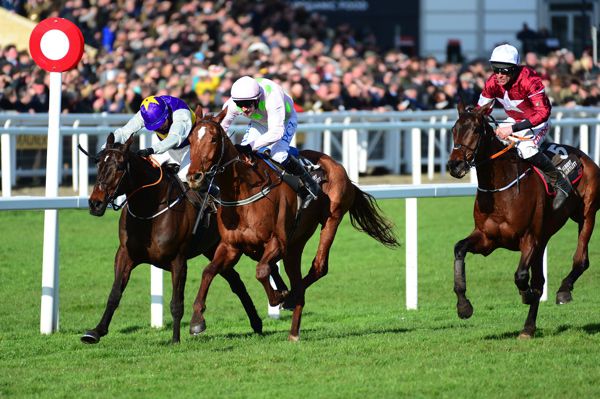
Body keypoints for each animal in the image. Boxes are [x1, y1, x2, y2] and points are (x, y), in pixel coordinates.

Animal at [81, 132, 288, 344]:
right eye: (98, 163)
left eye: (120, 167)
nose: (95, 203)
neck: (149, 211)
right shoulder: (125, 254)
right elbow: (114, 294)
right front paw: (96, 331)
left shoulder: (178, 260)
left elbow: (176, 303)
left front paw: (175, 339)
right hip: (217, 250)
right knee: (237, 281)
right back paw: (257, 321)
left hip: (247, 244)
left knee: (269, 263)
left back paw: (282, 296)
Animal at [186, 108, 398, 342]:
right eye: (190, 140)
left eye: (214, 139)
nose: (194, 177)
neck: (244, 192)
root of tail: (336, 165)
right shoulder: (231, 246)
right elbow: (208, 271)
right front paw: (196, 321)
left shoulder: (277, 241)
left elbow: (261, 271)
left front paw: (279, 296)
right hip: (296, 243)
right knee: (296, 275)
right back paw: (294, 331)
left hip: (331, 219)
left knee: (318, 267)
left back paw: (290, 299)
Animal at [448, 101, 596, 340]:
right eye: (454, 129)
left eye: (476, 130)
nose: (455, 165)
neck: (501, 191)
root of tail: (584, 156)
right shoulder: (487, 238)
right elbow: (459, 249)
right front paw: (463, 306)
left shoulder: (529, 239)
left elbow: (520, 276)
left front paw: (525, 295)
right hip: (544, 238)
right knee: (540, 281)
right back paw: (528, 328)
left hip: (587, 214)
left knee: (580, 259)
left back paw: (564, 290)